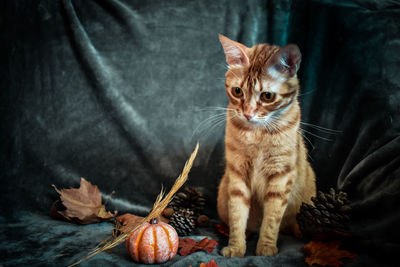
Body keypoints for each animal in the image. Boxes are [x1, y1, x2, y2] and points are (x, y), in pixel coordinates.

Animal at [216, 34, 316, 258]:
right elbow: (237, 216)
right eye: (237, 91)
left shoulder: (281, 177)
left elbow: (271, 219)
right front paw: (236, 246)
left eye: (267, 96)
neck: (257, 134)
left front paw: (266, 248)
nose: (247, 113)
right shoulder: (237, 175)